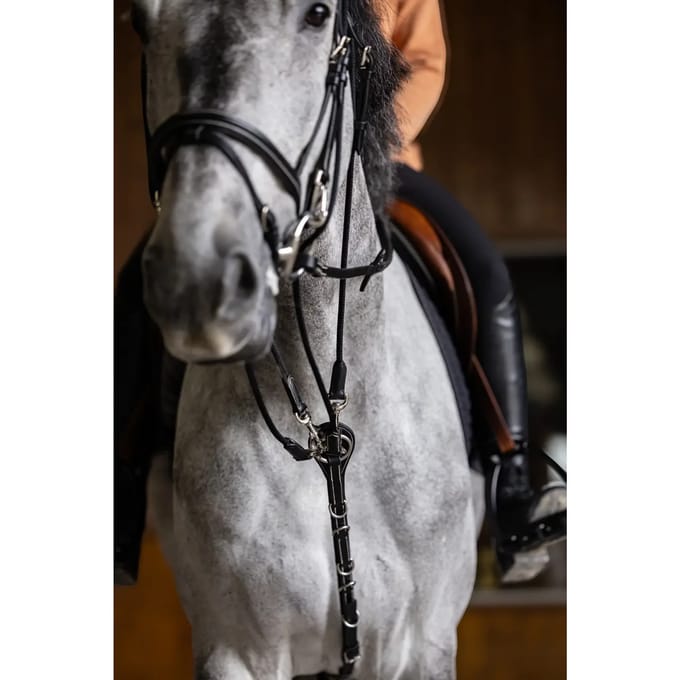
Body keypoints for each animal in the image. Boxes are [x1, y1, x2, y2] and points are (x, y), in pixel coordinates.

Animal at [135, 0, 485, 677]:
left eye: (317, 15)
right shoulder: (237, 649)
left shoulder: (422, 644)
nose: (196, 279)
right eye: (141, 22)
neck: (328, 426)